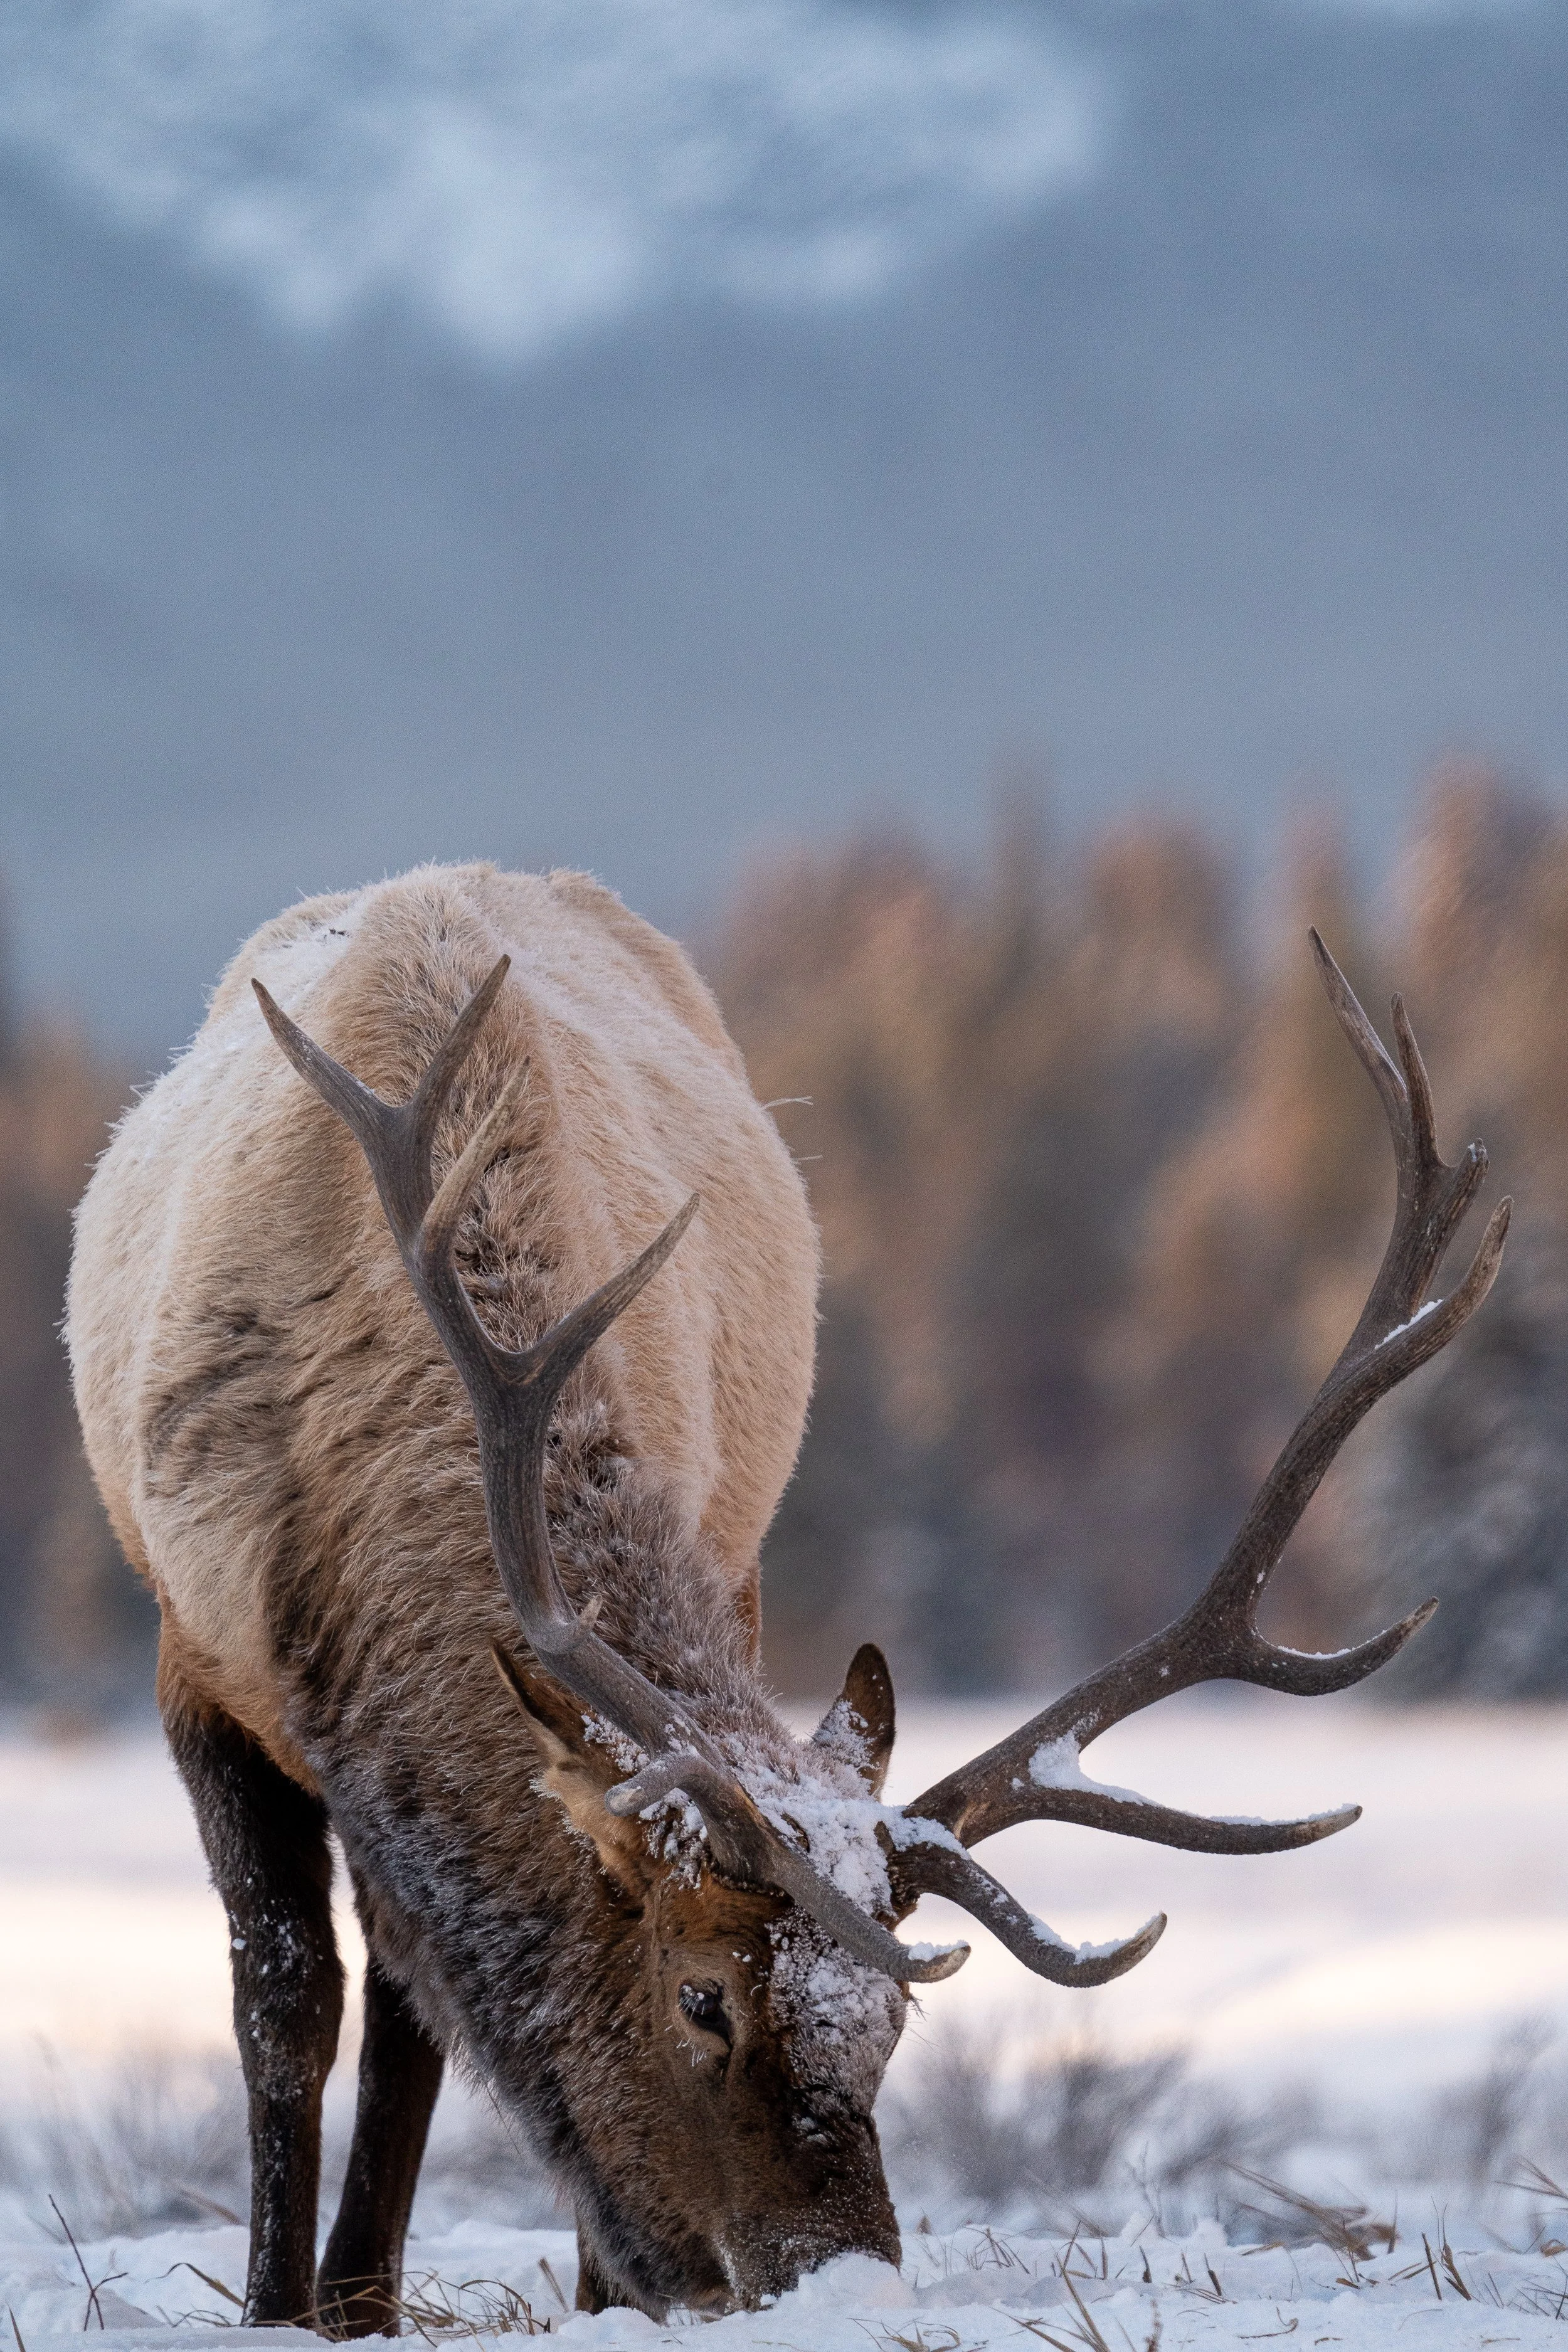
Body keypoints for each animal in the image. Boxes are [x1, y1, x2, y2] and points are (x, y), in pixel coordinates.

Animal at [66, 863, 1507, 2330]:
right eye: (701, 1999)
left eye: (894, 2023)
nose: (849, 2281)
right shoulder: (199, 1658)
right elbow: (285, 1998)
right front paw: (278, 2308)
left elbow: (407, 2000)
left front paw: (451, 2302)